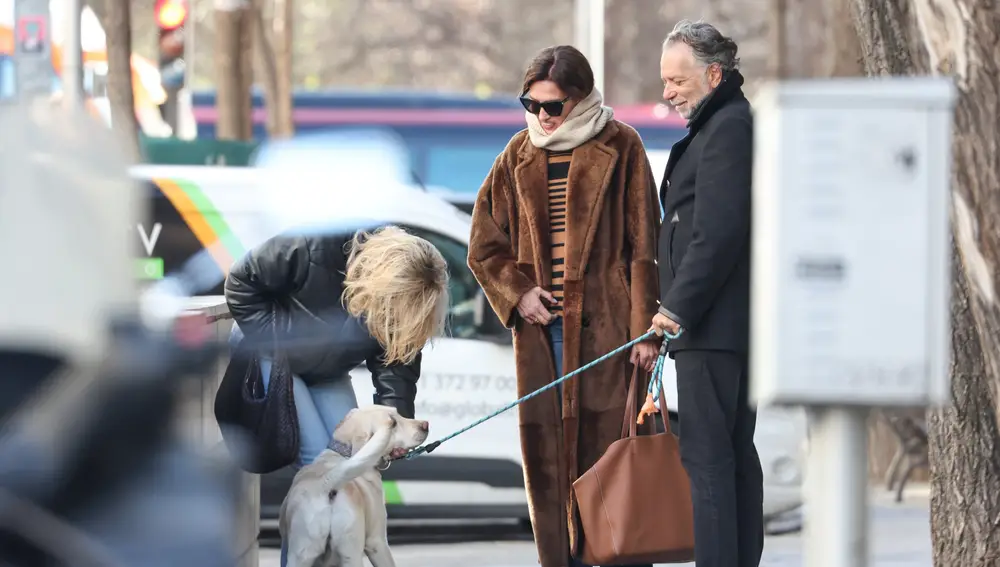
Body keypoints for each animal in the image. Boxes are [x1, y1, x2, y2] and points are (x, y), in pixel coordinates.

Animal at [278, 406, 430, 564]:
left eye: (398, 412)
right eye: (394, 423)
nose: (426, 424)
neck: (343, 453)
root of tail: (328, 481)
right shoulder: (377, 541)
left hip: (300, 555)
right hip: (352, 553)